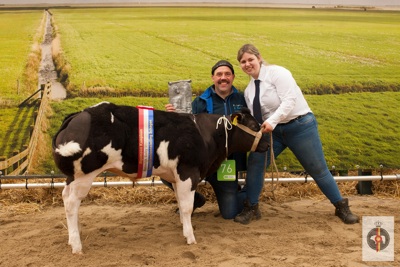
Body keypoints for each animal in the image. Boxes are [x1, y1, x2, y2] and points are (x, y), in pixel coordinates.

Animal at [51, 101, 268, 254]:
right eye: (254, 125)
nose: (266, 143)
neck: (205, 133)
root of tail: (79, 115)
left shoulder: (176, 176)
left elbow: (181, 203)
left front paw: (183, 226)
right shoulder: (188, 173)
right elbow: (187, 207)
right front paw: (190, 237)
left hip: (73, 176)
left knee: (65, 196)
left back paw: (73, 236)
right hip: (84, 175)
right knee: (71, 203)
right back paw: (77, 246)